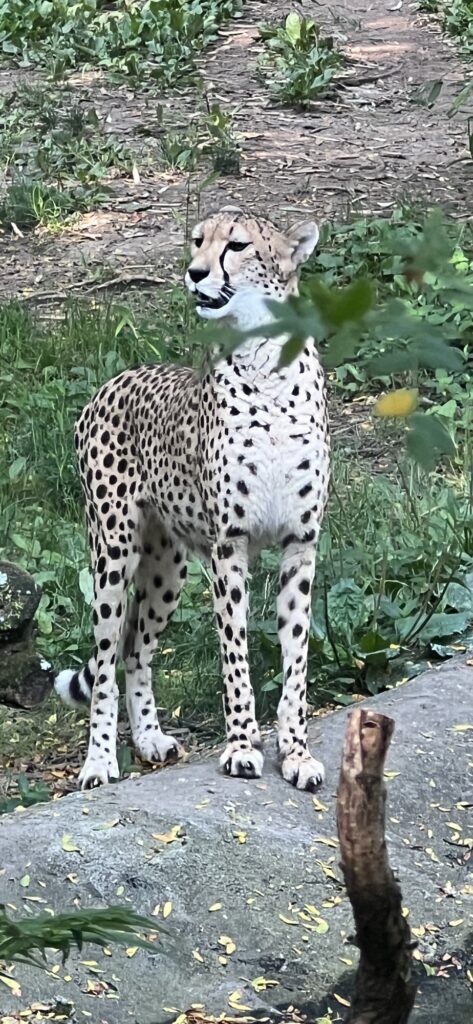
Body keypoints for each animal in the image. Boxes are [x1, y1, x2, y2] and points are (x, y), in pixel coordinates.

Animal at [54, 205, 330, 792]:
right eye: (199, 240)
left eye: (238, 245)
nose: (195, 272)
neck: (267, 366)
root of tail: (118, 377)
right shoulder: (230, 545)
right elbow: (236, 655)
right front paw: (243, 747)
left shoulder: (301, 543)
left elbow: (295, 659)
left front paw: (296, 753)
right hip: (113, 553)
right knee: (106, 660)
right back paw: (99, 761)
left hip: (167, 568)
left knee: (136, 650)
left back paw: (149, 737)